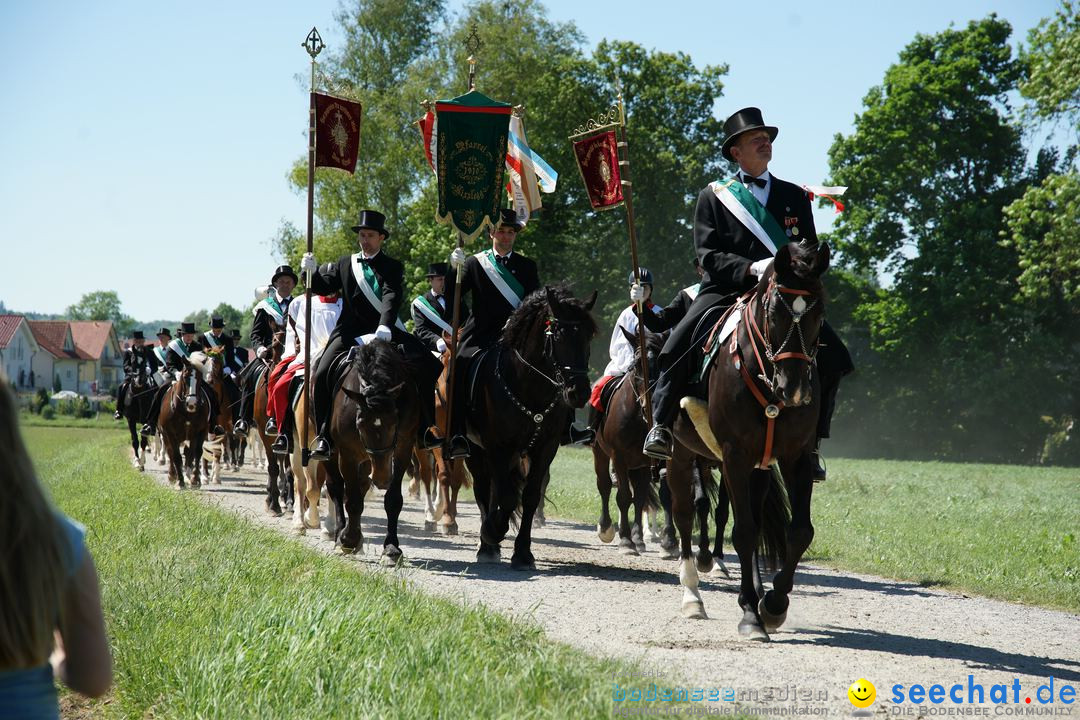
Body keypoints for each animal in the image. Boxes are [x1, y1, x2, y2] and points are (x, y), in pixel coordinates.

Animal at [156, 354, 212, 490]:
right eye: (185, 377)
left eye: (200, 378)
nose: (192, 403)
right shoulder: (171, 433)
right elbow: (176, 456)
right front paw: (180, 481)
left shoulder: (200, 432)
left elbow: (197, 453)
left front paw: (195, 480)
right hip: (165, 434)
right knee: (170, 452)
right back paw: (172, 475)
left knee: (189, 454)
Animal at [464, 284, 600, 569]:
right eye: (557, 335)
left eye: (588, 336)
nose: (579, 393)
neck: (529, 387)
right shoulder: (497, 446)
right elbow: (505, 496)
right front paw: (493, 531)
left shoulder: (545, 448)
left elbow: (529, 496)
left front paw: (523, 553)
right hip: (475, 450)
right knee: (484, 489)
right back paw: (487, 544)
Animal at [665, 241, 825, 643]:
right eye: (773, 311)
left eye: (819, 311)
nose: (794, 389)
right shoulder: (734, 456)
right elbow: (744, 531)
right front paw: (751, 615)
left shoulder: (795, 456)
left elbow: (799, 531)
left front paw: (773, 604)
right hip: (680, 455)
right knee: (683, 514)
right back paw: (692, 596)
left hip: (758, 469)